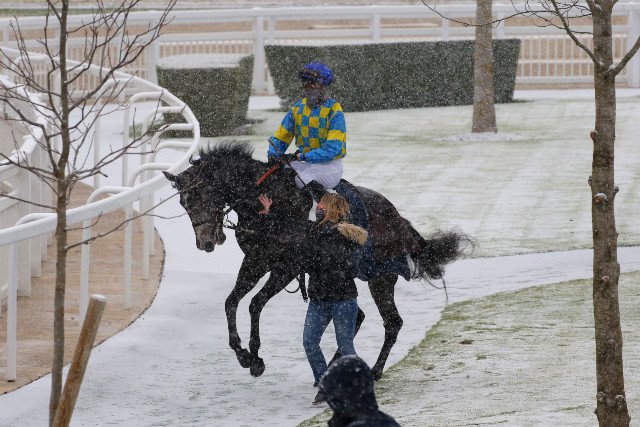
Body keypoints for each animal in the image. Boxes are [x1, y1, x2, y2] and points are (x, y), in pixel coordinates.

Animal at [163, 141, 471, 380]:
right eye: (183, 203)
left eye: (200, 194)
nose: (204, 243)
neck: (269, 203)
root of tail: (399, 219)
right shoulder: (256, 260)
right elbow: (231, 302)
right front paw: (241, 353)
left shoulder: (287, 267)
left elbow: (254, 303)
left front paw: (255, 358)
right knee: (360, 316)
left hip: (380, 277)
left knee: (392, 322)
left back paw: (374, 370)